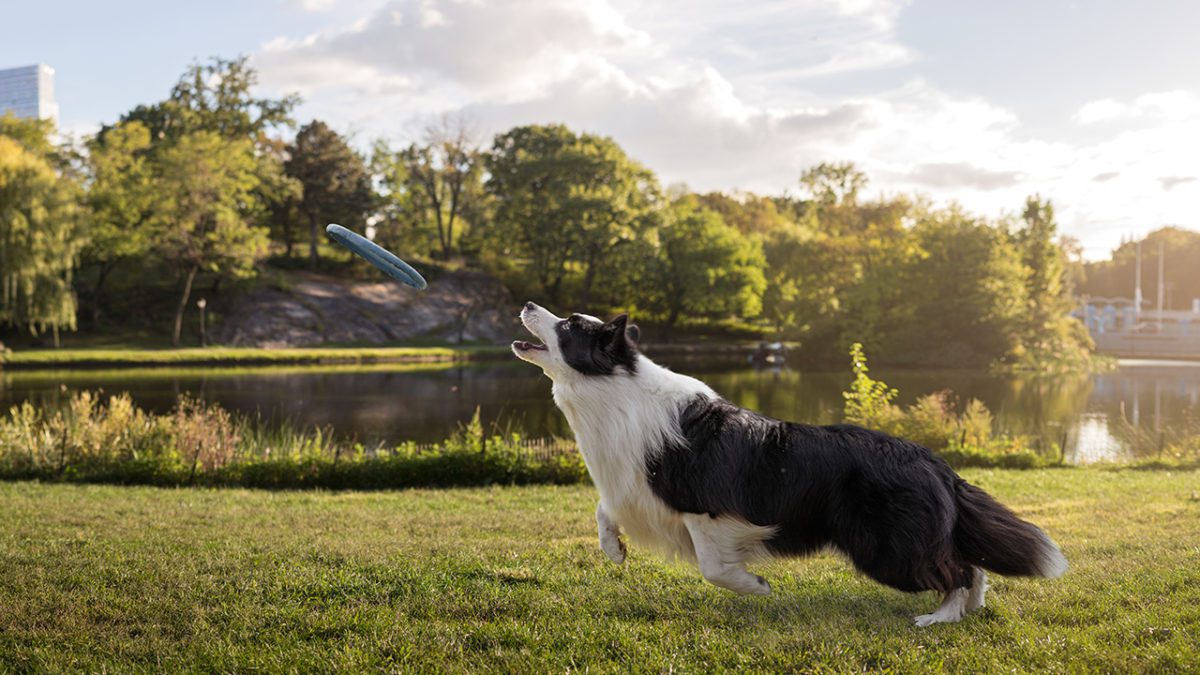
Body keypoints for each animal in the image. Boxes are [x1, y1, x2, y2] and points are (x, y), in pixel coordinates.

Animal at [513, 302, 1070, 624]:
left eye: (569, 325)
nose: (527, 303)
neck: (613, 391)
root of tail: (934, 461)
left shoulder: (708, 511)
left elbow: (714, 568)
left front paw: (755, 587)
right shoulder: (631, 485)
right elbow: (603, 508)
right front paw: (614, 550)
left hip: (883, 548)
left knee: (955, 567)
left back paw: (940, 618)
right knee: (971, 566)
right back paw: (969, 610)